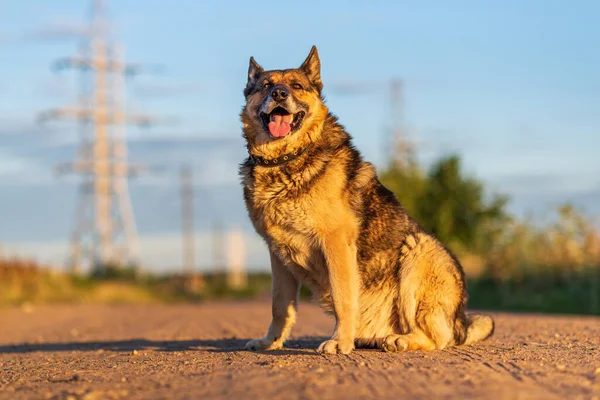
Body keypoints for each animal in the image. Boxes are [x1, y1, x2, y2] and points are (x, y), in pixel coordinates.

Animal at [238, 45, 492, 354]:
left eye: (296, 86)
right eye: (266, 86)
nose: (279, 94)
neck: (286, 159)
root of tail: (460, 321)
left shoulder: (335, 243)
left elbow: (342, 298)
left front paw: (339, 342)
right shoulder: (278, 256)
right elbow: (279, 306)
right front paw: (270, 342)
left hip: (419, 249)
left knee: (436, 338)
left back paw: (399, 340)